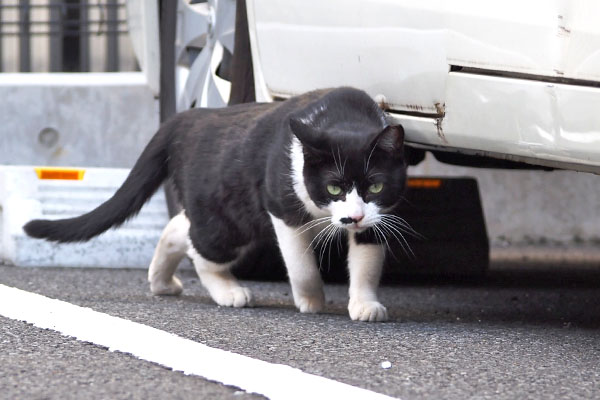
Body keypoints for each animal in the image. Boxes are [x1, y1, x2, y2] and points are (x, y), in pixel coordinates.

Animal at [23, 87, 408, 322]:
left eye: (375, 185)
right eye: (333, 187)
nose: (353, 217)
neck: (344, 116)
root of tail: (187, 118)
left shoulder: (381, 214)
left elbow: (367, 261)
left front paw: (365, 304)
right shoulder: (280, 206)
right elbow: (301, 265)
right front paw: (311, 299)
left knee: (179, 227)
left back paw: (161, 282)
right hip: (227, 217)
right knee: (200, 246)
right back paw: (228, 290)